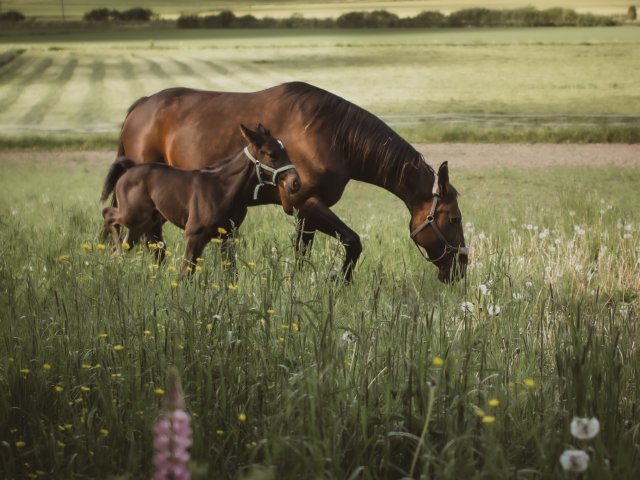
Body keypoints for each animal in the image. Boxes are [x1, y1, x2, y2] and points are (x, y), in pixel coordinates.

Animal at [101, 124, 302, 270]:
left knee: (125, 244)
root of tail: (130, 168)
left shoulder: (228, 237)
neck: (224, 190)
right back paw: (116, 248)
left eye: (286, 151)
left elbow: (232, 274)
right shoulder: (194, 235)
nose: (295, 182)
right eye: (271, 154)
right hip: (133, 215)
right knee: (108, 214)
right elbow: (185, 273)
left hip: (144, 223)